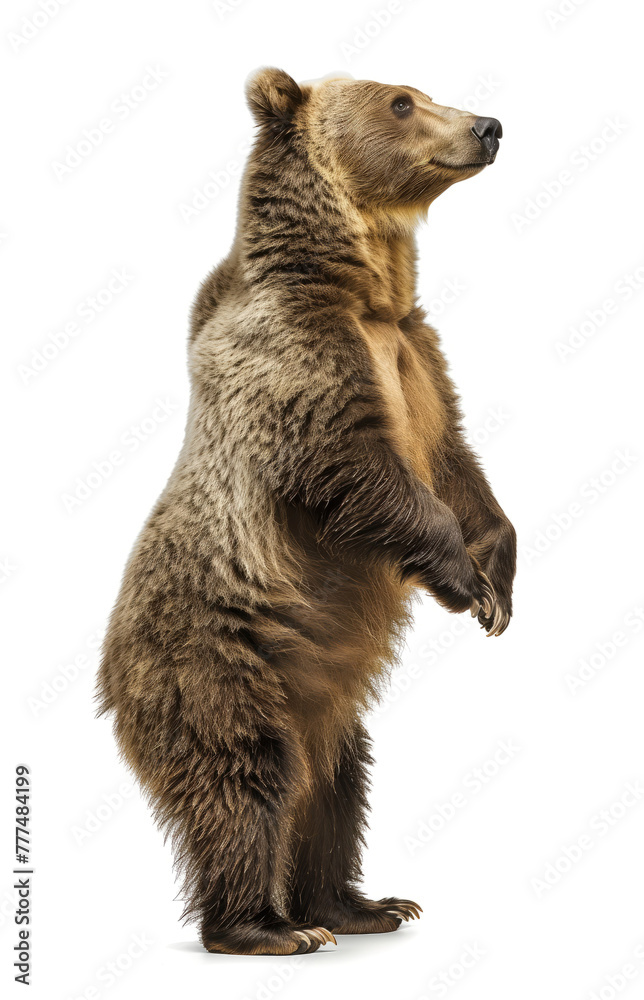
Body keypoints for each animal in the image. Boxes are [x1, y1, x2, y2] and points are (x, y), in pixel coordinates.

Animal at [97, 68, 516, 956]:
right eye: (402, 99)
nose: (489, 125)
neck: (363, 290)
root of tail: (111, 680)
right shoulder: (300, 359)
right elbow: (359, 468)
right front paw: (464, 581)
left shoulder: (419, 358)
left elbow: (459, 463)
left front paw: (499, 583)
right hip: (215, 664)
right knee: (242, 777)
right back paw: (265, 927)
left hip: (328, 705)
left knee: (336, 792)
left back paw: (362, 905)